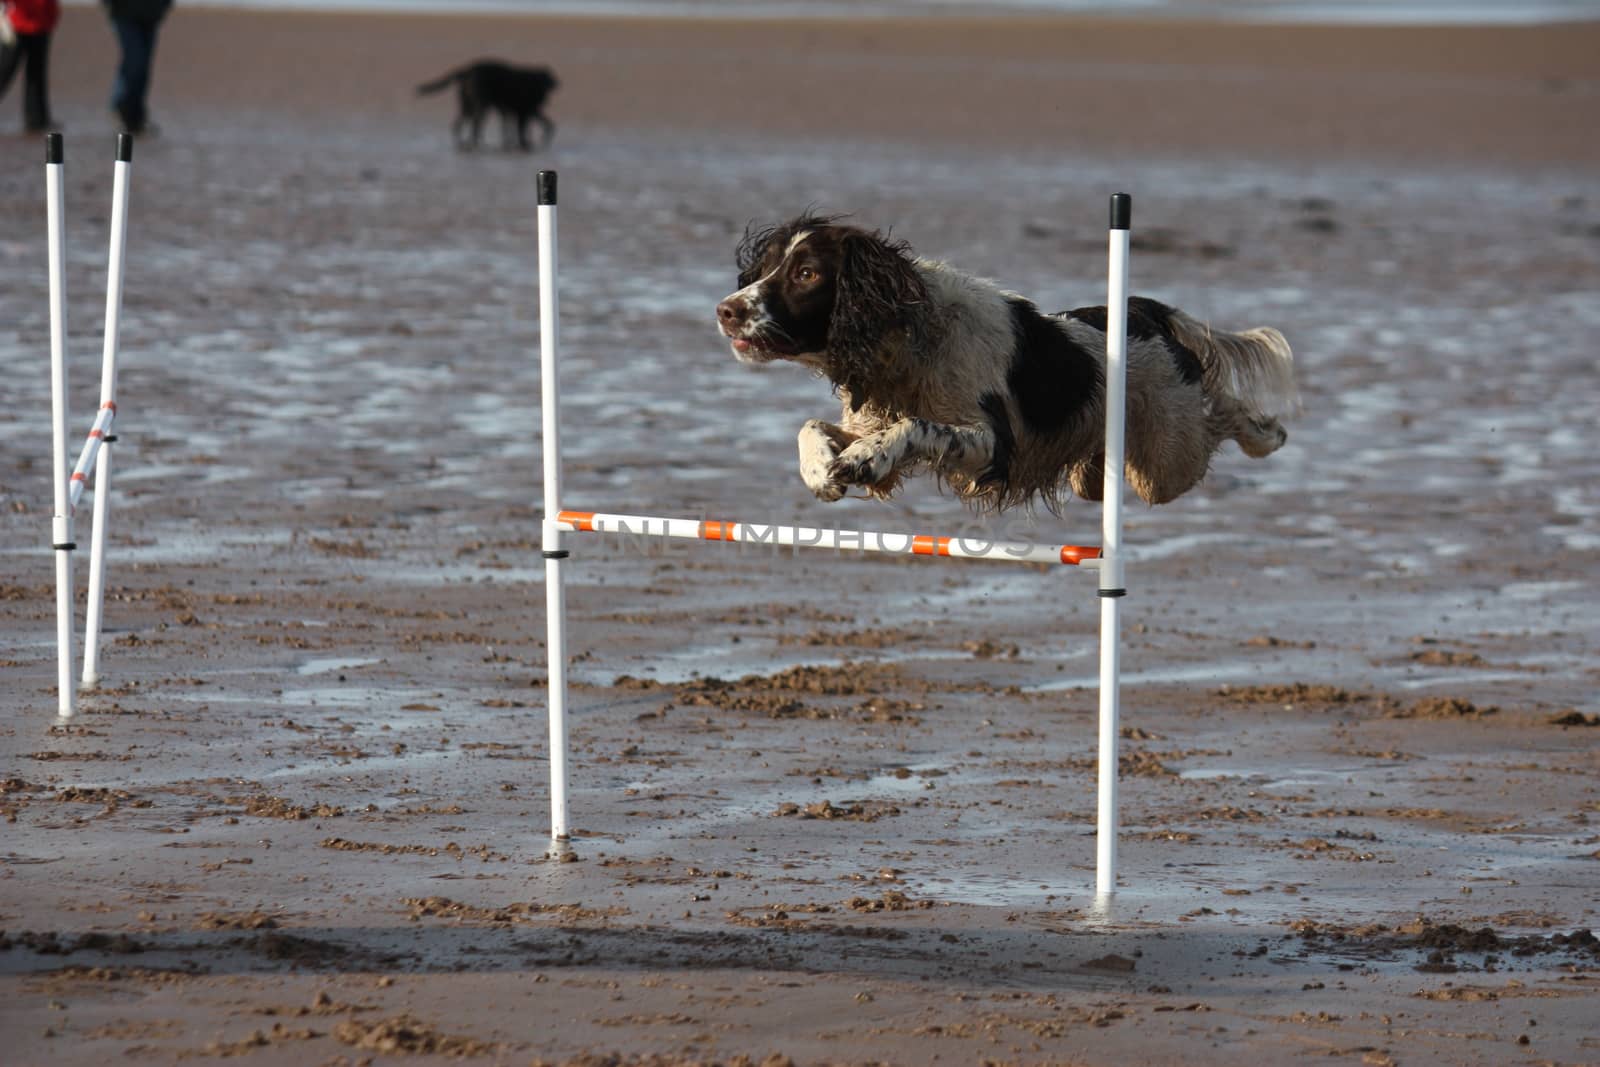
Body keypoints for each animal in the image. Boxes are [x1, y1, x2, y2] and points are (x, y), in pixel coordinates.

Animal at [416, 61, 560, 151]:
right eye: (551, 79)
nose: (559, 83)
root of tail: (467, 69)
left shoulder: (523, 111)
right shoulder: (524, 112)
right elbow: (522, 130)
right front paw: (524, 144)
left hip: (468, 106)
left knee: (460, 124)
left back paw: (466, 143)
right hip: (480, 105)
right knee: (475, 125)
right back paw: (476, 144)